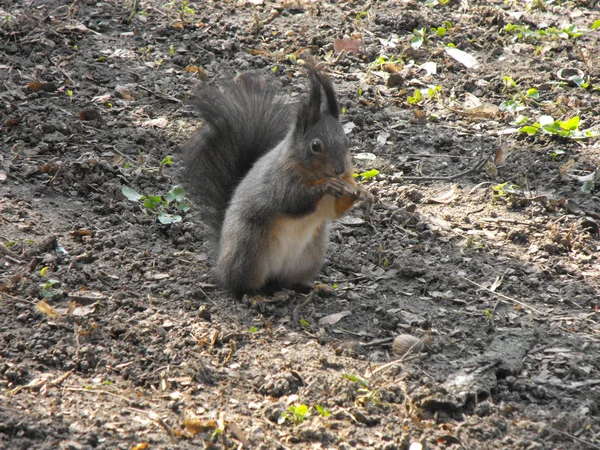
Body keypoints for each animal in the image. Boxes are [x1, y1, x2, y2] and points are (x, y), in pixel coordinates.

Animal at [180, 63, 372, 296]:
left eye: (347, 141)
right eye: (315, 146)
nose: (339, 170)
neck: (313, 172)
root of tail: (220, 261)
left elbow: (335, 212)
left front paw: (362, 192)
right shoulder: (278, 179)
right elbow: (290, 200)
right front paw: (326, 186)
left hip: (309, 255)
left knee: (288, 282)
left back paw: (312, 286)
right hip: (249, 250)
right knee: (240, 286)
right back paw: (254, 297)